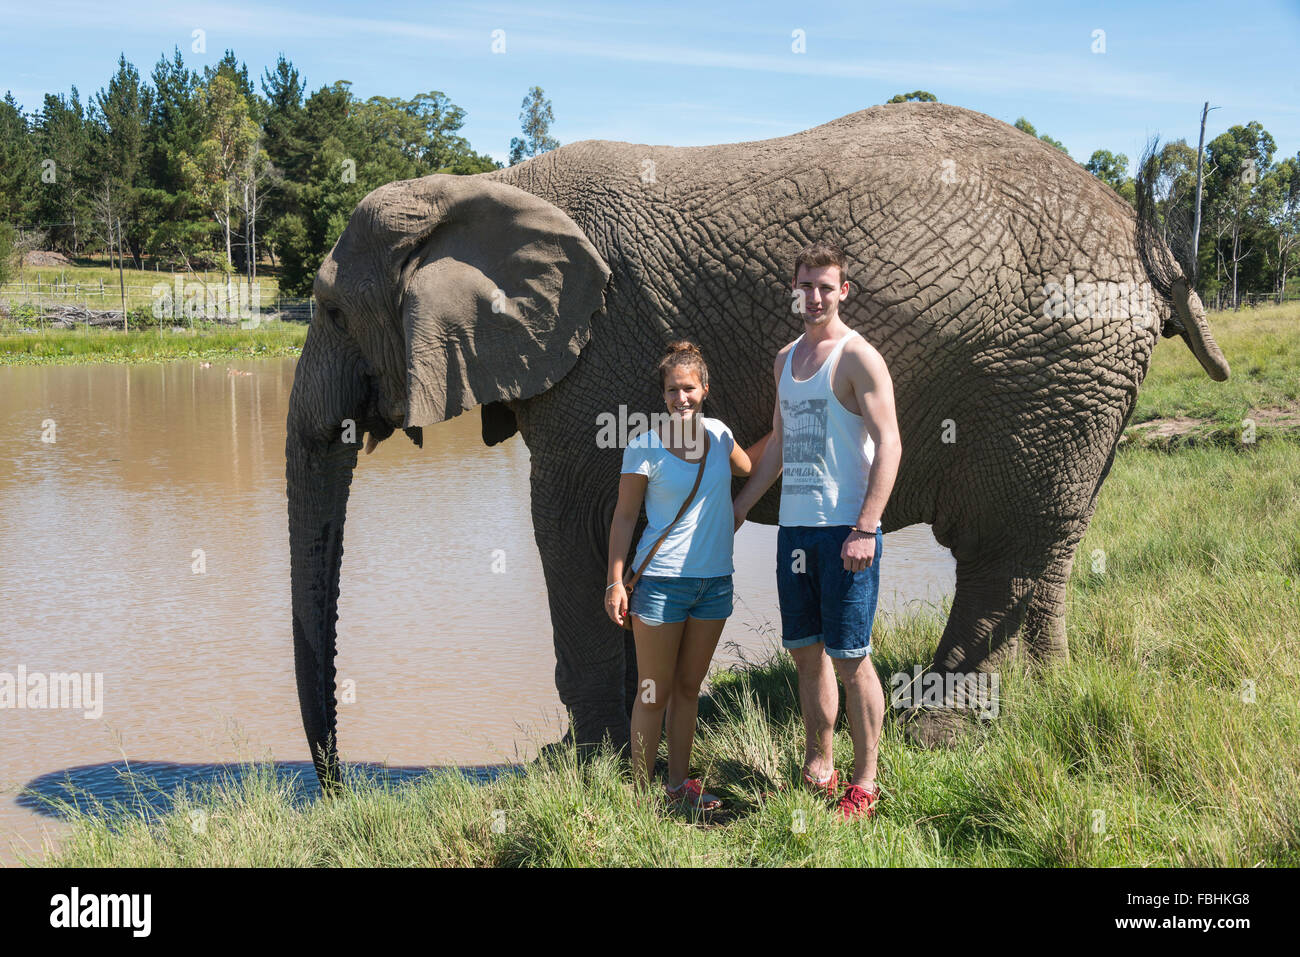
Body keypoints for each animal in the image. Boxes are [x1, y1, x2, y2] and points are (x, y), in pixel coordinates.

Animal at [287, 100, 1227, 790]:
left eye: (330, 310)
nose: (335, 785)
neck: (483, 186)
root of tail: (1140, 241)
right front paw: (618, 750)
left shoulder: (599, 352)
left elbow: (575, 524)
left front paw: (580, 766)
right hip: (1081, 386)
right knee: (1044, 543)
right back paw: (1037, 700)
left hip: (1053, 366)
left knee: (1002, 547)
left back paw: (939, 734)